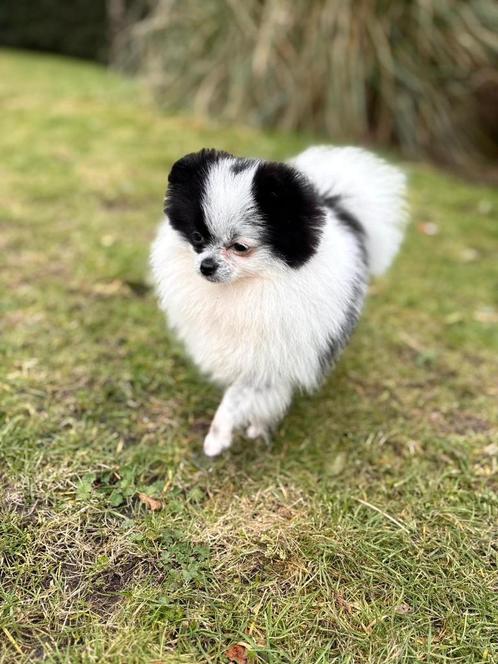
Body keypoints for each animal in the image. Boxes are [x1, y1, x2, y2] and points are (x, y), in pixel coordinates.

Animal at [150, 145, 406, 456]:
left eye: (240, 247)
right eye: (197, 237)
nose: (206, 266)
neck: (251, 287)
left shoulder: (271, 358)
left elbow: (238, 396)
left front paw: (218, 436)